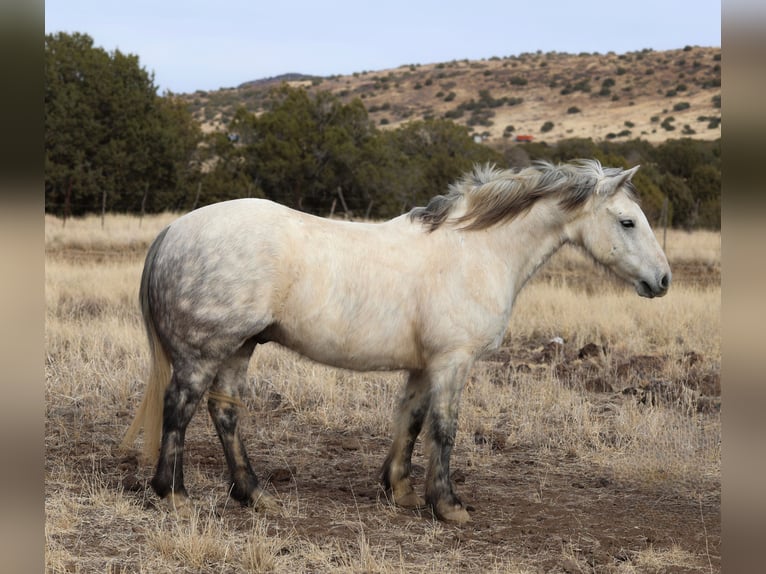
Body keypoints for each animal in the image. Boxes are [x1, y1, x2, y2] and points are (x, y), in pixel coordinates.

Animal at [121, 160, 672, 524]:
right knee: (179, 409)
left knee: (225, 413)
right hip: (202, 353)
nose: (663, 280)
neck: (476, 249)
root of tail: (174, 230)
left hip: (240, 347)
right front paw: (448, 505)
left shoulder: (424, 366)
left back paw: (253, 493)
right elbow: (445, 429)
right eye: (627, 221)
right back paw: (173, 493)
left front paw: (401, 490)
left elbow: (410, 420)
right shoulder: (453, 362)